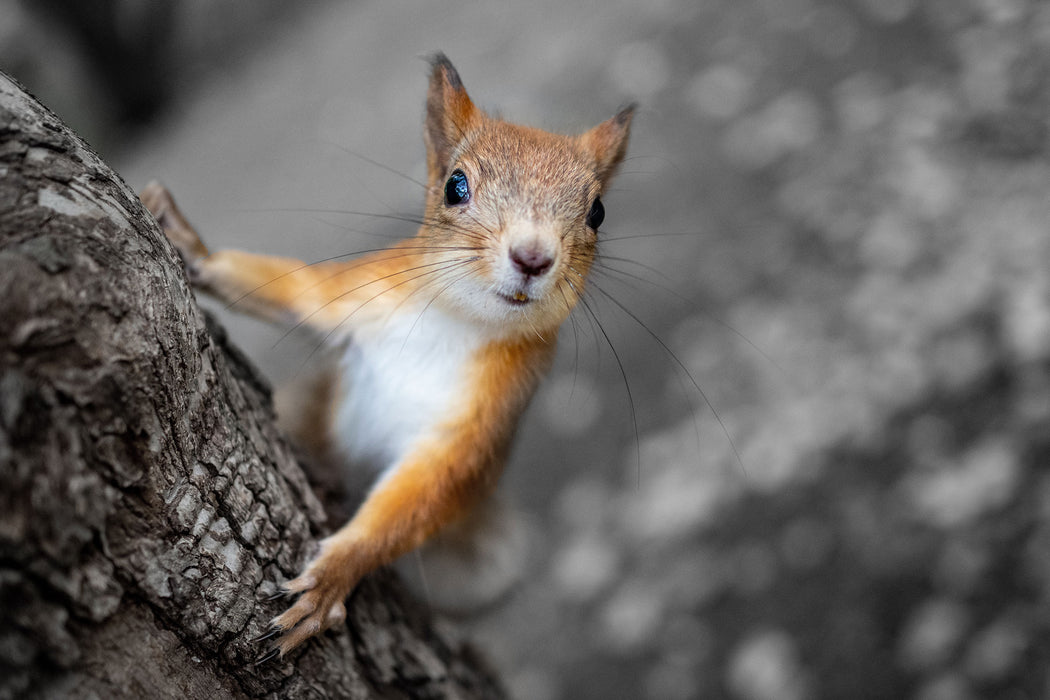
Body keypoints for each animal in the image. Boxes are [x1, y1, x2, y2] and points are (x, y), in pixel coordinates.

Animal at [139, 53, 630, 659]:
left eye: (598, 212)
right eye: (455, 185)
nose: (533, 257)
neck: (455, 322)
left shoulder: (484, 421)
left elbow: (422, 496)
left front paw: (333, 577)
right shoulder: (361, 294)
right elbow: (295, 290)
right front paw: (190, 246)